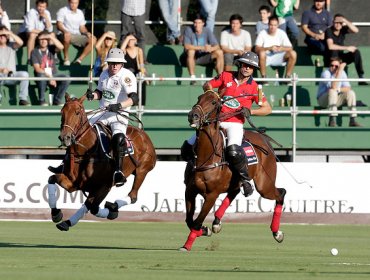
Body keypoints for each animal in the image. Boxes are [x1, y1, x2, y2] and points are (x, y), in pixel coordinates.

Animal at [47, 94, 156, 230]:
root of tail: (143, 134)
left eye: (77, 112)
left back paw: (113, 206)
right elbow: (52, 178)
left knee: (133, 196)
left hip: (142, 170)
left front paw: (112, 212)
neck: (84, 152)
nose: (65, 137)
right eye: (62, 112)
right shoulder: (74, 184)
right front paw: (56, 214)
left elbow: (93, 207)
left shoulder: (105, 186)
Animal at [180, 90, 286, 252]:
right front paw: (205, 230)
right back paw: (216, 222)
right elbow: (189, 220)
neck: (206, 157)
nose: (193, 115)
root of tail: (263, 138)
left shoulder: (211, 195)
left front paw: (188, 244)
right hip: (239, 182)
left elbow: (197, 221)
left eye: (214, 102)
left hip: (264, 184)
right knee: (234, 192)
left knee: (281, 193)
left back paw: (277, 233)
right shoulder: (190, 190)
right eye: (199, 98)